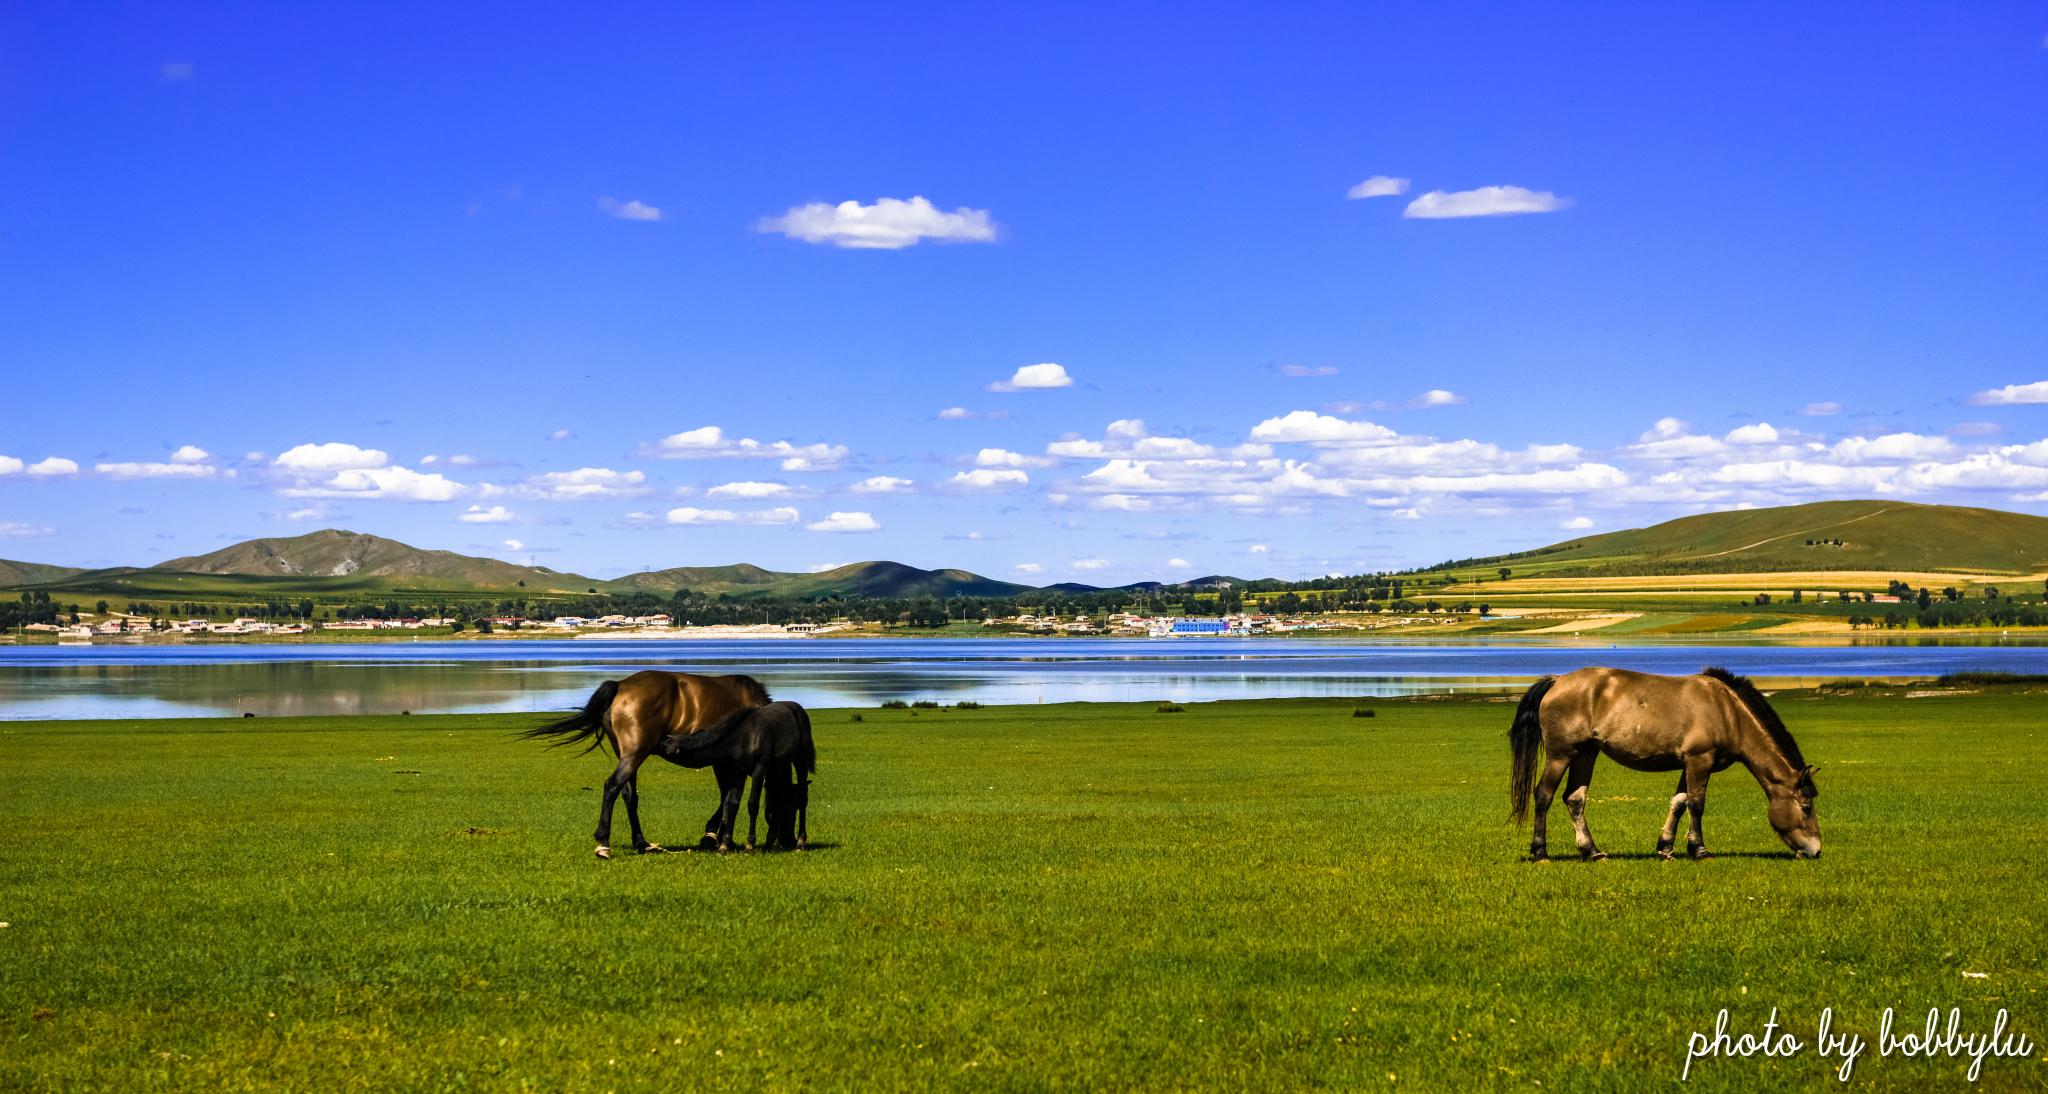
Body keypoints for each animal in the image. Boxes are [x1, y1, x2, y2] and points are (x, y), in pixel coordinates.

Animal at [520, 671, 774, 860]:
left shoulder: (721, 763)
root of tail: (620, 686)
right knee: (612, 786)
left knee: (628, 794)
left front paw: (714, 837)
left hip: (627, 755)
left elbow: (726, 797)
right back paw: (604, 843)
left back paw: (641, 842)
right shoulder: (734, 764)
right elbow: (732, 799)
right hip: (635, 754)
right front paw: (717, 838)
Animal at [1507, 667, 1826, 864]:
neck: (1728, 712)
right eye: (1805, 807)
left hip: (1586, 753)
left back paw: (1592, 851)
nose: (1816, 851)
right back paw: (1541, 852)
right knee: (1544, 796)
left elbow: (1679, 803)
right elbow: (1696, 804)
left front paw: (1666, 849)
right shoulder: (1700, 760)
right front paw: (1699, 850)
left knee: (1575, 799)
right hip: (1561, 754)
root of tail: (1557, 680)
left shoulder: (1689, 765)